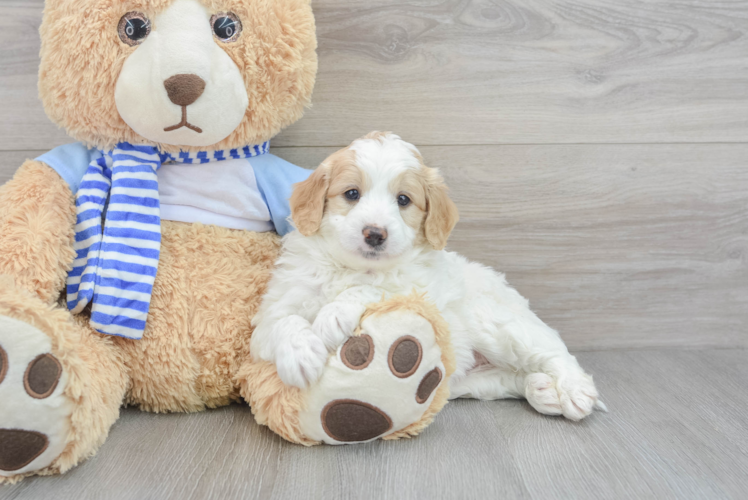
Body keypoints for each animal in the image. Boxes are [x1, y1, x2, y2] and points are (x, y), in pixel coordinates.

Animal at [254, 131, 604, 420]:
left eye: (403, 200)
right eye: (352, 194)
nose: (375, 234)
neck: (354, 268)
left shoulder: (420, 294)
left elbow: (375, 288)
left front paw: (333, 314)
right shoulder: (275, 310)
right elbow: (282, 321)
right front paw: (299, 355)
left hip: (496, 323)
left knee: (554, 350)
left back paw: (573, 390)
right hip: (471, 377)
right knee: (502, 378)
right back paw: (541, 390)